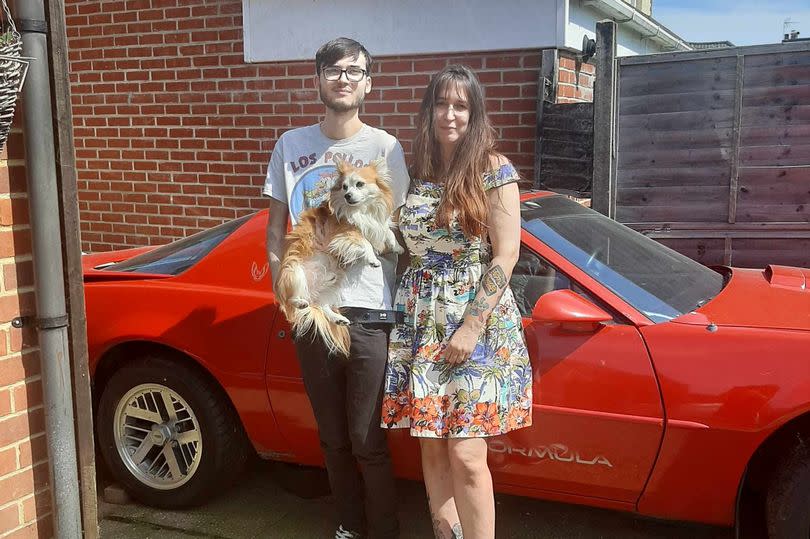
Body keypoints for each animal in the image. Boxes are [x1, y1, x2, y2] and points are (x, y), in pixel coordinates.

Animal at [276, 158, 402, 356]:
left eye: (359, 184)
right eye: (344, 187)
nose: (347, 196)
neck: (361, 210)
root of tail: (310, 293)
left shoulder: (374, 224)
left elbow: (386, 231)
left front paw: (397, 246)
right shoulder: (341, 234)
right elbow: (364, 241)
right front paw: (372, 259)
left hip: (332, 284)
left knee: (321, 305)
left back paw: (337, 318)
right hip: (294, 272)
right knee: (291, 300)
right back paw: (300, 302)